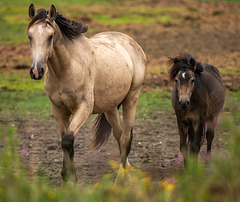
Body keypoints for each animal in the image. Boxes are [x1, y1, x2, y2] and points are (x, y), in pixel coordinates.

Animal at [26, 4, 146, 185]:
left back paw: (120, 180)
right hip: (110, 107)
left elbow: (67, 140)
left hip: (132, 98)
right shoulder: (58, 110)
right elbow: (65, 140)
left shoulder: (83, 108)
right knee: (119, 135)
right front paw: (67, 180)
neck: (66, 68)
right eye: (29, 36)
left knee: (126, 138)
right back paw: (129, 173)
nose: (36, 71)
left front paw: (70, 178)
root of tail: (133, 44)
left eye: (50, 36)